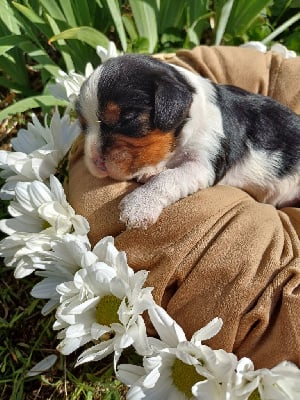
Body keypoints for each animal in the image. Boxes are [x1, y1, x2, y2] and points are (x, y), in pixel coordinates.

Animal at [75, 54, 300, 228]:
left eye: (128, 118)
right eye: (83, 125)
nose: (96, 161)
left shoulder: (203, 162)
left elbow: (168, 179)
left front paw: (138, 206)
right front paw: (150, 171)